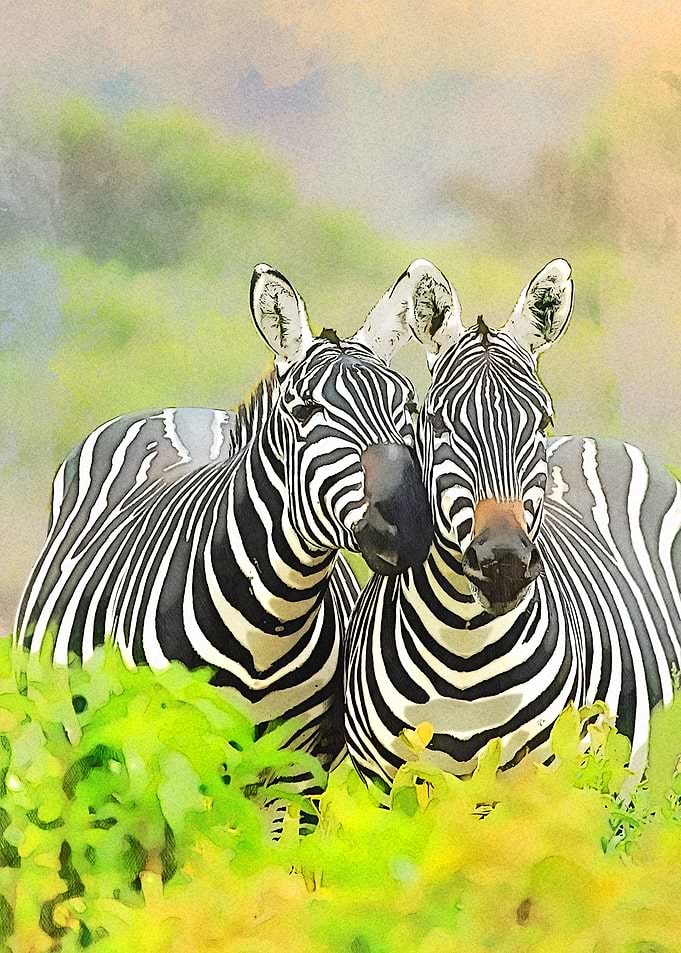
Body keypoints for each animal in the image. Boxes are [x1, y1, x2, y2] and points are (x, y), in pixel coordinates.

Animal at [15, 263, 433, 822]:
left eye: (409, 406)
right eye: (305, 412)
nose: (407, 526)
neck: (270, 626)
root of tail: (178, 409)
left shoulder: (298, 778)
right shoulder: (163, 762)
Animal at [345, 257, 681, 796]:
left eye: (541, 422)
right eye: (437, 423)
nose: (502, 562)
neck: (464, 655)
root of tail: (596, 442)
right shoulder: (388, 790)